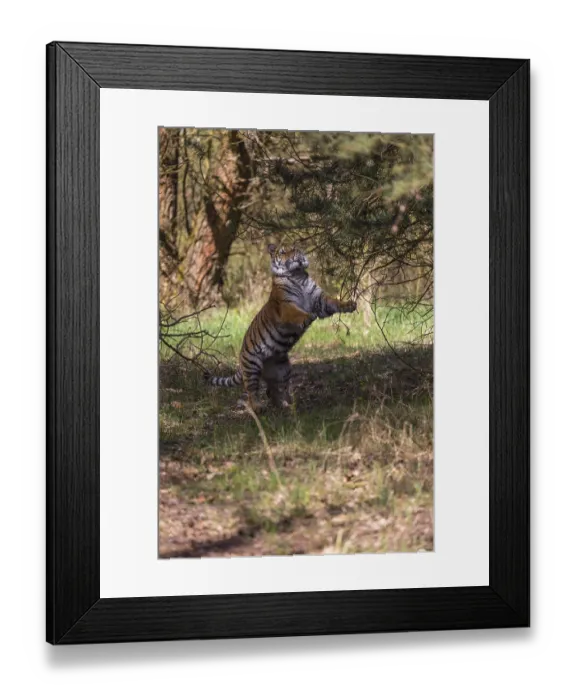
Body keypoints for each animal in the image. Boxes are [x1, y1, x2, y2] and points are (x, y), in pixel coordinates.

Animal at [206, 244, 357, 411]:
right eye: (283, 252)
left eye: (295, 249)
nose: (295, 255)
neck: (298, 275)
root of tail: (241, 356)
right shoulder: (286, 305)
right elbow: (297, 313)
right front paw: (308, 316)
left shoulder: (320, 300)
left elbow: (335, 302)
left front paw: (350, 304)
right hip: (252, 366)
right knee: (252, 391)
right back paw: (259, 407)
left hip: (283, 370)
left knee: (273, 391)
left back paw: (287, 406)